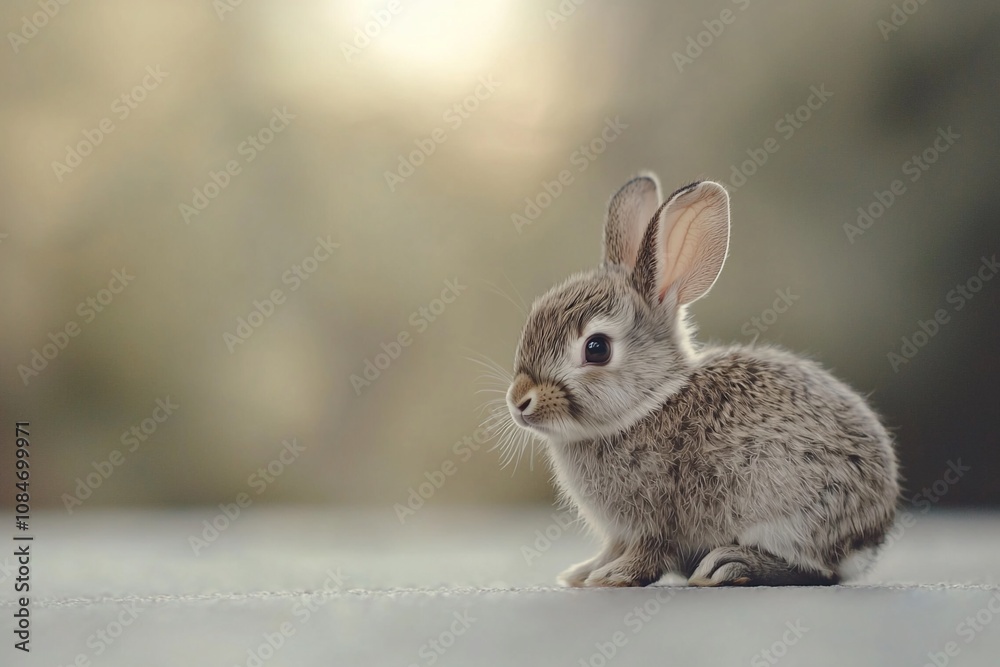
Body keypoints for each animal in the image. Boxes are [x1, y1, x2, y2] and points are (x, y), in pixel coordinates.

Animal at [504, 174, 900, 587]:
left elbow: (648, 554)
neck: (647, 403)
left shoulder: (656, 520)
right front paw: (582, 573)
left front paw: (612, 577)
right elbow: (612, 548)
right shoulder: (621, 533)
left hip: (787, 512)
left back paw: (730, 565)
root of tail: (869, 536)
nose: (519, 401)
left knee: (817, 571)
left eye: (596, 348)